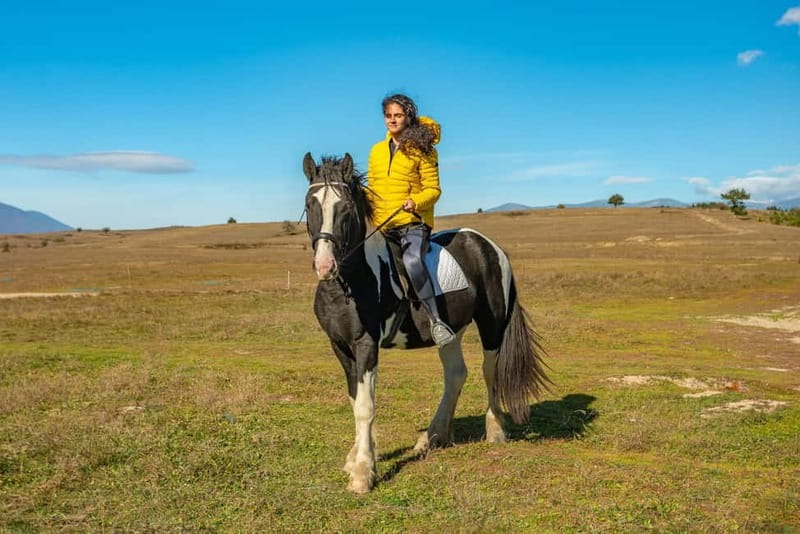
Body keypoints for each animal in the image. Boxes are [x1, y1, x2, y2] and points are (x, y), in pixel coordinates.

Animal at [302, 152, 549, 493]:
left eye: (346, 209)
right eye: (309, 204)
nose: (325, 265)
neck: (348, 283)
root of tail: (488, 246)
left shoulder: (366, 345)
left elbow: (366, 407)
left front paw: (363, 472)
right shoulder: (340, 346)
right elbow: (354, 399)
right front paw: (355, 459)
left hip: (492, 325)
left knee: (490, 371)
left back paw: (495, 430)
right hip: (451, 331)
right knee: (456, 374)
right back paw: (433, 437)